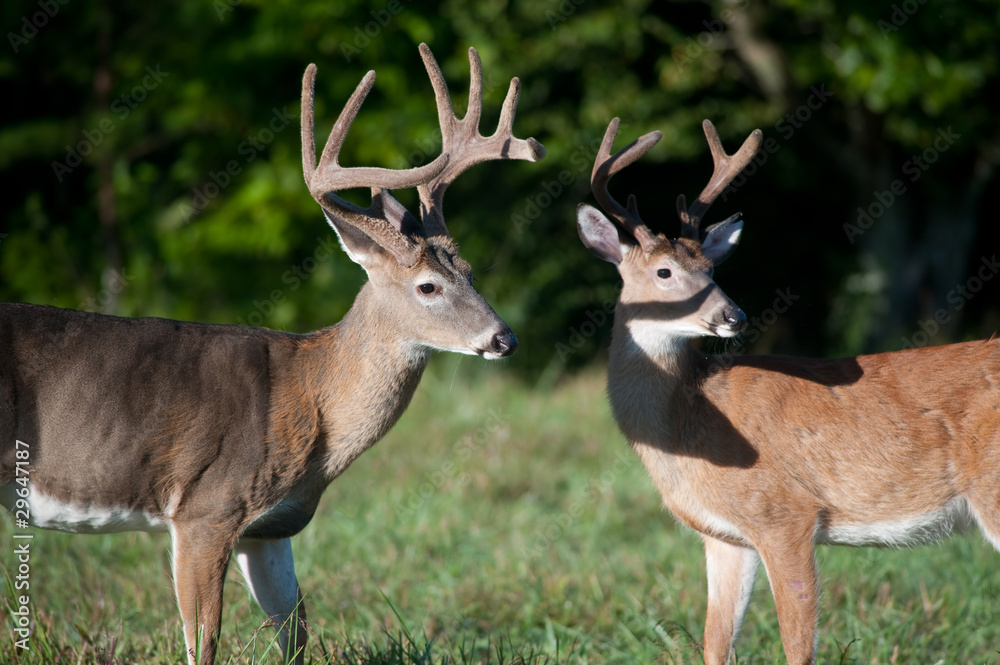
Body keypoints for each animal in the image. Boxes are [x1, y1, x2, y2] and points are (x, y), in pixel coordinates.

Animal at [0, 43, 544, 665]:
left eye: (471, 271)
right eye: (427, 286)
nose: (504, 339)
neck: (308, 395)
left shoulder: (269, 529)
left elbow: (295, 632)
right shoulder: (205, 507)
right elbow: (204, 640)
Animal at [575, 116, 1000, 664]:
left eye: (712, 269)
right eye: (664, 271)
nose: (734, 315)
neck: (687, 425)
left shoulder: (784, 513)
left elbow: (796, 644)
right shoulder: (726, 537)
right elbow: (715, 643)